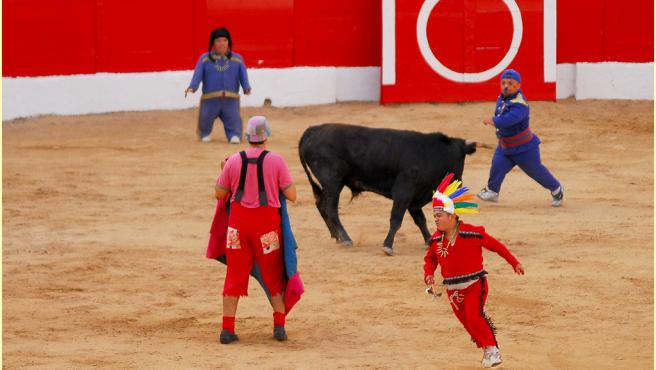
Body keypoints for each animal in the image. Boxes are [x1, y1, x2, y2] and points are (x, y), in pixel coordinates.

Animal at [298, 123, 476, 254]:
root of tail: (314, 130)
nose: (459, 185)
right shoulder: (403, 191)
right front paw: (388, 246)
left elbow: (421, 220)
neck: (430, 154)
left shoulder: (414, 199)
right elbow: (396, 219)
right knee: (330, 209)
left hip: (327, 185)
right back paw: (346, 238)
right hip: (333, 182)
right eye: (457, 161)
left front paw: (429, 240)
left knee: (321, 205)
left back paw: (337, 236)